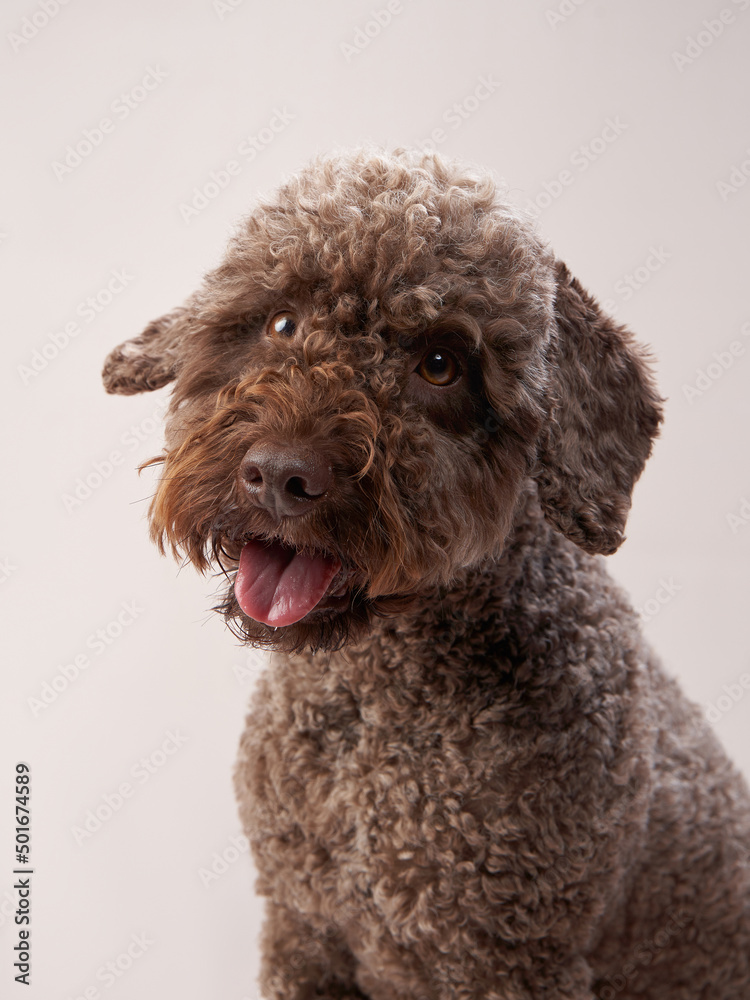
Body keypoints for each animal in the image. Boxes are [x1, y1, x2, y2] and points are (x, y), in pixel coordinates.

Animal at [103, 148, 748, 1000]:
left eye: (440, 364)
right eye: (281, 322)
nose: (279, 475)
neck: (372, 710)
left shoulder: (504, 964)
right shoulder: (302, 932)